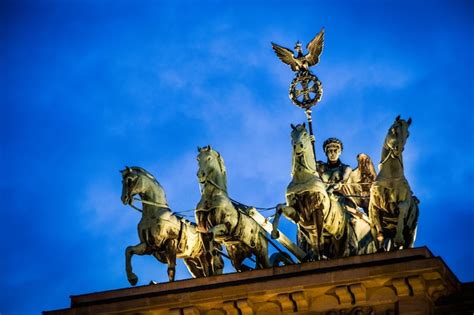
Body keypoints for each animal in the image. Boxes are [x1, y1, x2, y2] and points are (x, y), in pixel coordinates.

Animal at [370, 116, 418, 252]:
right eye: (393, 130)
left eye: (407, 134)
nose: (398, 149)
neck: (391, 177)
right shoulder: (375, 206)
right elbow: (378, 225)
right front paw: (381, 239)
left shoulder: (404, 201)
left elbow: (402, 208)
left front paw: (399, 239)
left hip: (412, 233)